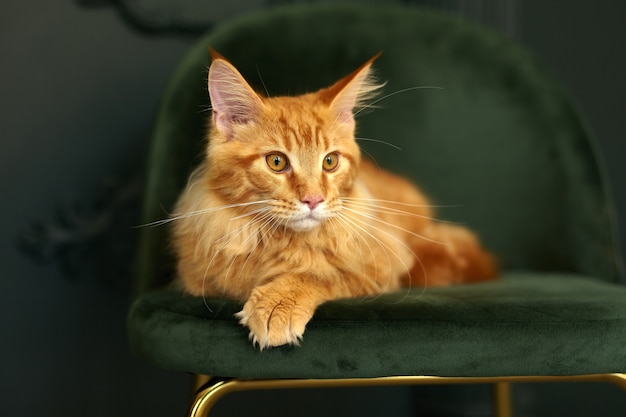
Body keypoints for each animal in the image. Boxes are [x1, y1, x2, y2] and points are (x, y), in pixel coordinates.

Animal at [169, 50, 492, 350]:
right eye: (276, 162)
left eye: (330, 162)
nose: (314, 199)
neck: (280, 242)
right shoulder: (198, 279)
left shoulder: (382, 266)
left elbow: (322, 273)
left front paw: (279, 301)